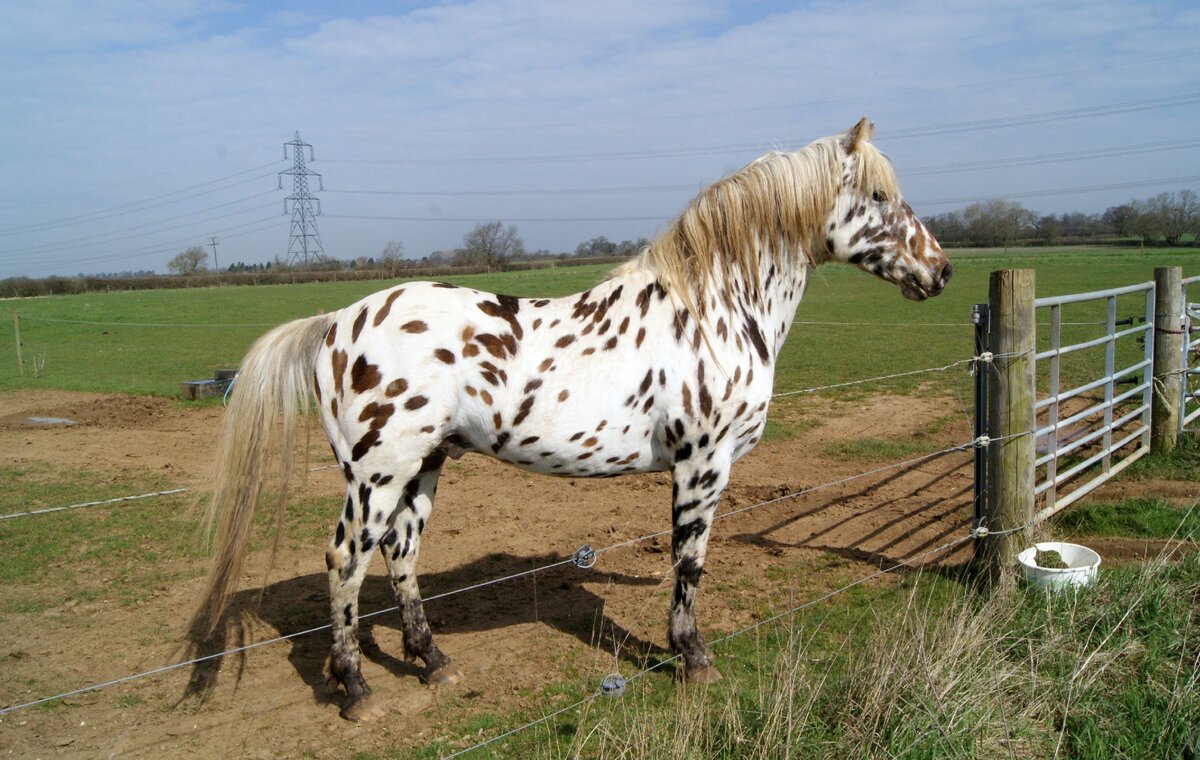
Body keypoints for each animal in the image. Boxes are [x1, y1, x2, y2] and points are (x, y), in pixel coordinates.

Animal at [192, 117, 950, 715]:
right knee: (347, 561)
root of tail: (335, 322)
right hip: (377, 475)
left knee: (400, 556)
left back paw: (433, 664)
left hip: (422, 467)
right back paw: (353, 689)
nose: (939, 271)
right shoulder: (703, 463)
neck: (714, 308)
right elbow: (689, 562)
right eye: (878, 197)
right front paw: (692, 658)